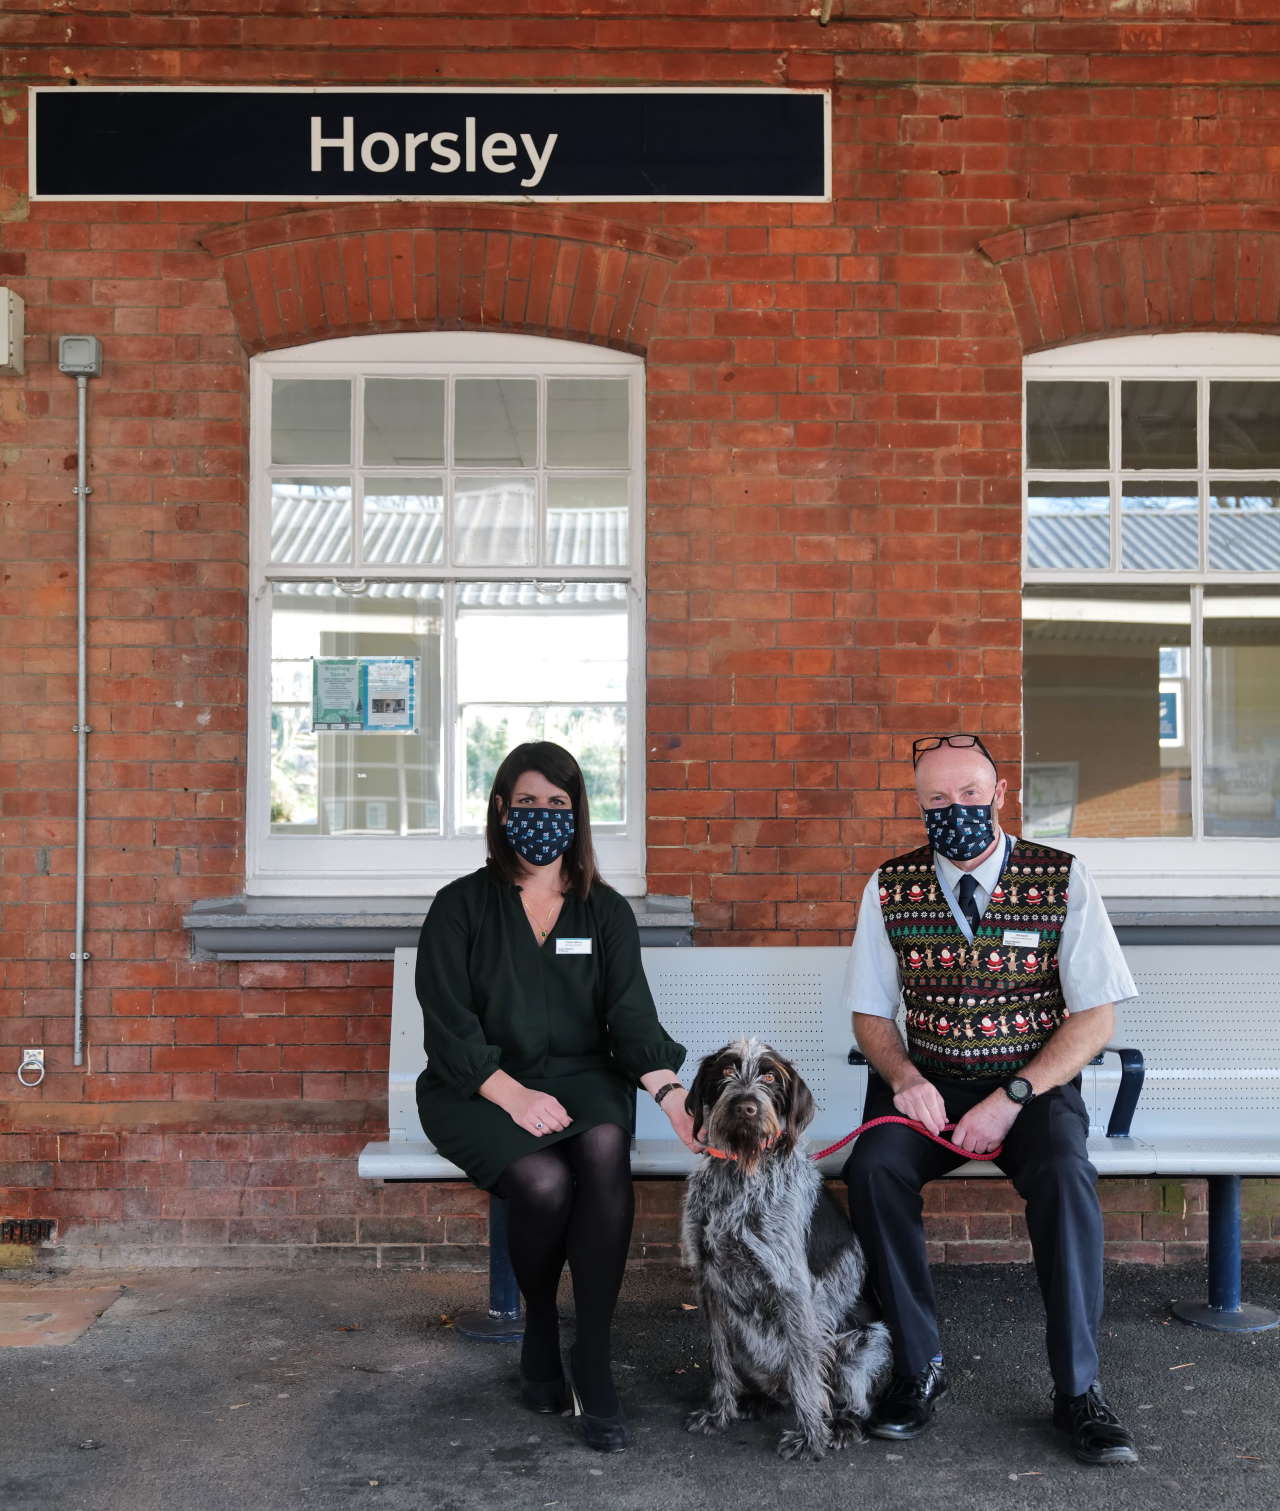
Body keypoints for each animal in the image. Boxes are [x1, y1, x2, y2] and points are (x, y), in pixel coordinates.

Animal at [680, 1045, 888, 1456]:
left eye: (770, 1077)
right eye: (725, 1071)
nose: (746, 1106)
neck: (742, 1173)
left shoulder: (792, 1290)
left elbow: (805, 1372)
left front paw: (811, 1437)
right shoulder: (708, 1282)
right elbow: (718, 1360)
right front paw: (719, 1413)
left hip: (865, 1342)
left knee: (852, 1398)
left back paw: (841, 1424)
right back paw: (757, 1400)